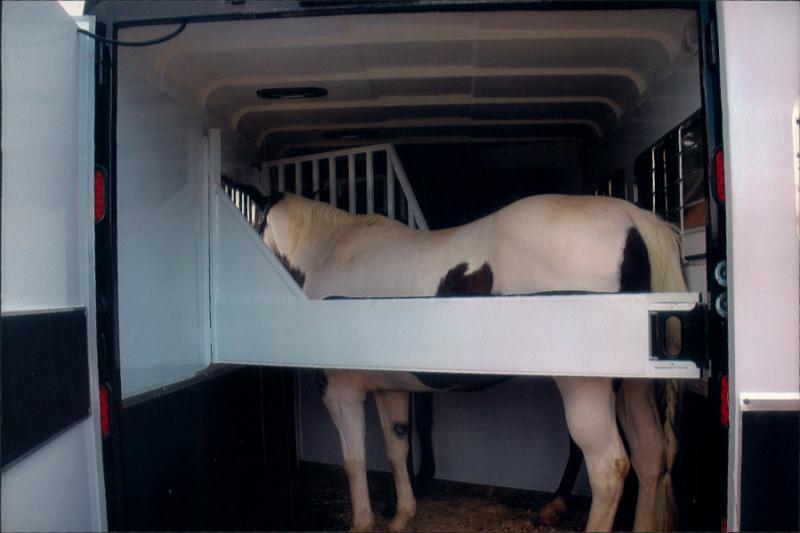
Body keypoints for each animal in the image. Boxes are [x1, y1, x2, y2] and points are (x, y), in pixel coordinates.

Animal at [260, 192, 684, 532]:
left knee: (609, 469)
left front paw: (363, 523)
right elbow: (398, 450)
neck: (331, 252)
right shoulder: (390, 388)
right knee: (650, 457)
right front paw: (401, 516)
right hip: (633, 387)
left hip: (585, 389)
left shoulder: (341, 391)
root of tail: (631, 216)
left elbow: (354, 459)